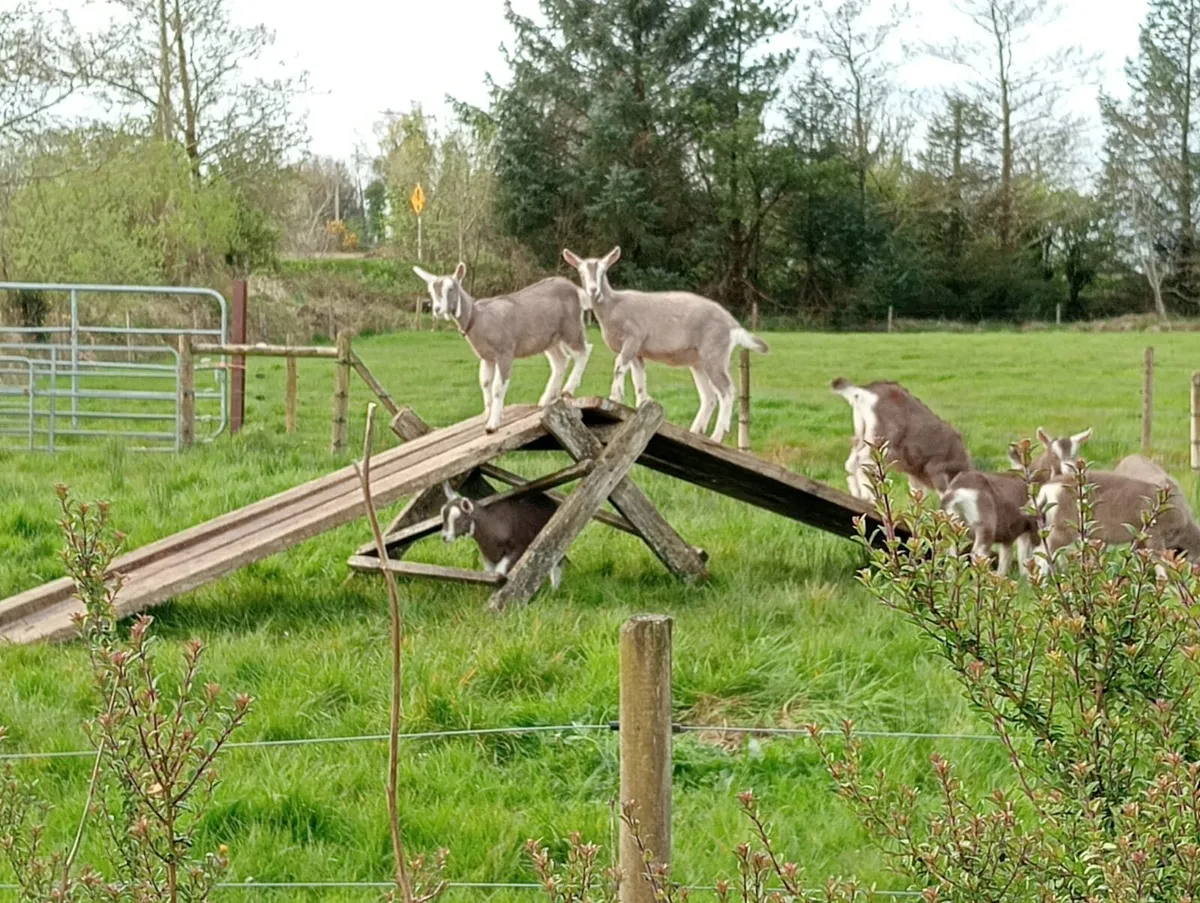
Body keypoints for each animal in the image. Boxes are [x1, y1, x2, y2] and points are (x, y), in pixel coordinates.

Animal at [413, 263, 592, 432]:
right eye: (431, 291)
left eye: (451, 288)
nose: (437, 309)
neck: (477, 318)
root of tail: (574, 288)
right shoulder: (487, 357)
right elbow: (485, 383)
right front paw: (488, 413)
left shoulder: (504, 352)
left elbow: (498, 387)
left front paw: (493, 424)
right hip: (549, 339)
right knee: (561, 361)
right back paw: (546, 399)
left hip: (570, 326)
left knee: (584, 350)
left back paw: (568, 390)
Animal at [560, 246, 768, 444]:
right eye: (581, 272)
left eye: (603, 271)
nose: (593, 289)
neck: (614, 306)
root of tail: (733, 325)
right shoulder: (638, 351)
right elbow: (639, 378)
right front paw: (642, 405)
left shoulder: (634, 337)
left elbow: (619, 365)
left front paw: (614, 397)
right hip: (698, 361)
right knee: (709, 396)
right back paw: (695, 431)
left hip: (715, 352)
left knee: (726, 390)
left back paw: (716, 436)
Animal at [830, 377, 970, 501]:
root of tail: (860, 392)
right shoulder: (937, 469)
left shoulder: (915, 475)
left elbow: (917, 496)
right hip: (881, 437)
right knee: (862, 459)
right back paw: (868, 496)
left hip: (862, 433)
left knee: (852, 461)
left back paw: (859, 495)